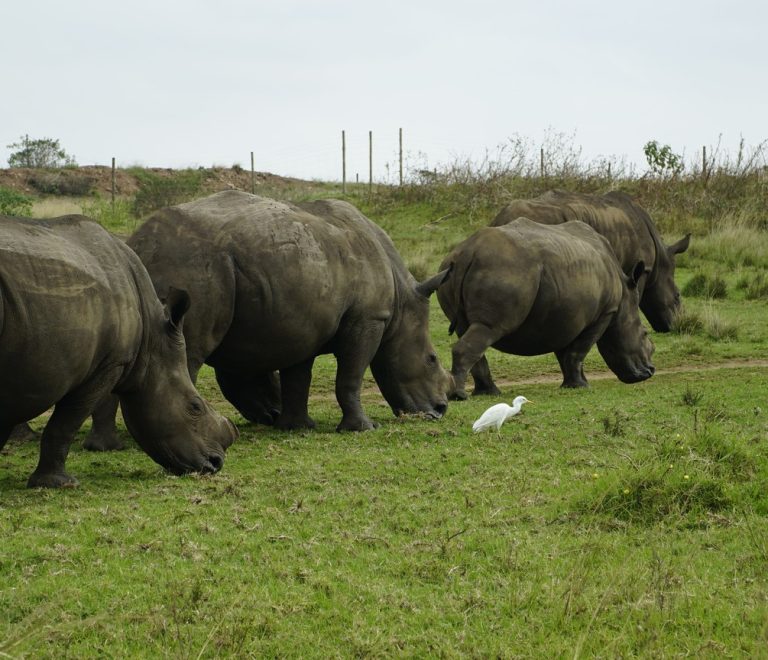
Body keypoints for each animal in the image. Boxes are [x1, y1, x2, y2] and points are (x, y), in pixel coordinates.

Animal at [0, 214, 238, 487]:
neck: (152, 338)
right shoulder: (110, 363)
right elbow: (67, 421)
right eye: (195, 407)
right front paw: (60, 484)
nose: (215, 463)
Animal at [86, 190, 450, 440]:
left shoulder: (304, 323)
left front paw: (297, 427)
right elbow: (351, 375)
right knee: (187, 352)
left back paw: (106, 446)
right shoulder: (369, 318)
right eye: (432, 359)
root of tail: (142, 246)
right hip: (194, 267)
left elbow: (297, 376)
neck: (401, 299)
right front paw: (362, 428)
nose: (441, 409)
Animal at [437, 219, 655, 397]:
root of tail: (467, 254)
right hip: (504, 269)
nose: (650, 371)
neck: (624, 296)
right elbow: (578, 351)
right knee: (489, 328)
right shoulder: (605, 313)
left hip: (453, 271)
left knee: (466, 328)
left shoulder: (564, 317)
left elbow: (565, 353)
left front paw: (573, 384)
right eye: (644, 333)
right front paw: (582, 386)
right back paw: (461, 395)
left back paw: (488, 393)